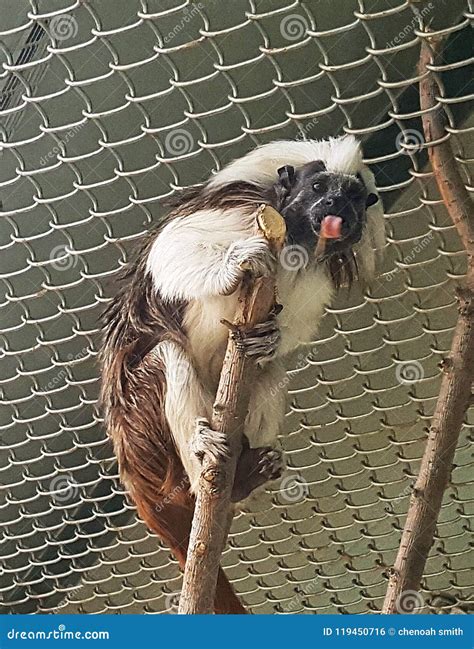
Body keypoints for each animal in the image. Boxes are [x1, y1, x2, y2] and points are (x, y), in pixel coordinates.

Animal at [100, 135, 386, 612]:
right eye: (317, 187)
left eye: (350, 197)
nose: (333, 206)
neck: (297, 237)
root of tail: (131, 470)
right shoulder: (242, 210)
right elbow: (173, 253)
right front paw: (235, 266)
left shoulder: (316, 272)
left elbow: (289, 334)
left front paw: (273, 336)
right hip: (145, 434)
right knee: (167, 355)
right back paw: (205, 460)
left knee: (269, 373)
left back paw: (246, 474)